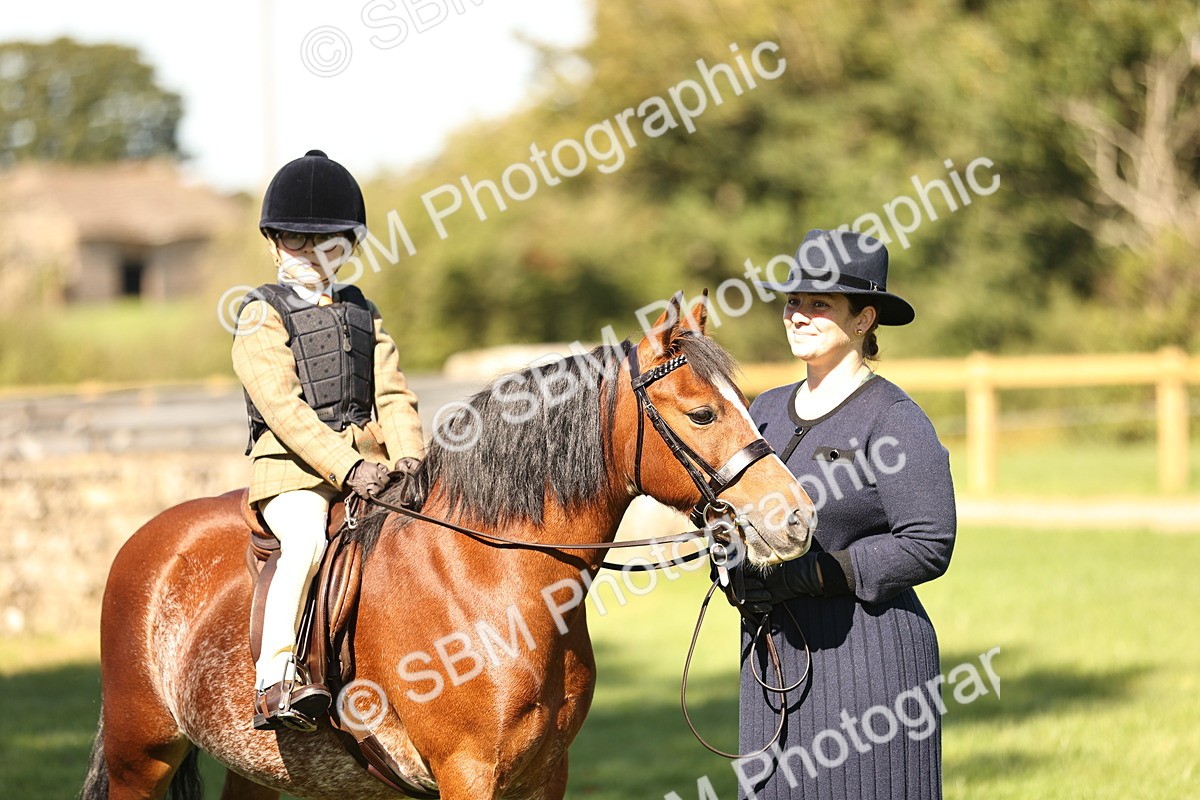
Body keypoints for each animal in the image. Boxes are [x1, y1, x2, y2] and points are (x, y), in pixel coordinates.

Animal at [80, 293, 815, 800]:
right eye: (703, 414)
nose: (798, 518)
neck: (493, 577)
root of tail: (150, 540)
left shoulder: (546, 773)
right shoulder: (469, 773)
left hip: (261, 770)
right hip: (140, 757)